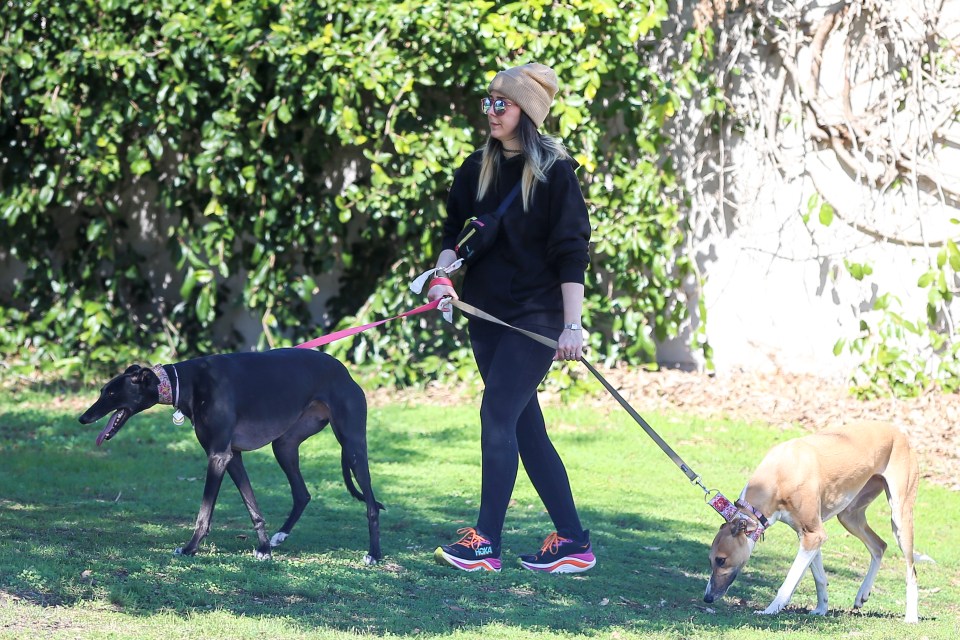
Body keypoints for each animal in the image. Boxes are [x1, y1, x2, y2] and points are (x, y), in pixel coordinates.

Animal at [77, 348, 382, 564]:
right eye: (103, 390)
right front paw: (263, 549)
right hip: (284, 445)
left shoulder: (218, 455)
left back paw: (374, 554)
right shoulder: (232, 456)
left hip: (352, 444)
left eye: (111, 393)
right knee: (302, 493)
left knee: (371, 504)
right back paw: (279, 537)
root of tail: (345, 372)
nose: (82, 418)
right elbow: (253, 507)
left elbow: (204, 513)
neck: (186, 382)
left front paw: (189, 548)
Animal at [704, 418, 924, 624]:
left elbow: (789, 582)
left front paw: (770, 610)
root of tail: (900, 432)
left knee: (911, 571)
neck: (780, 474)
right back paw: (862, 594)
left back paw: (911, 617)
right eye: (710, 559)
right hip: (849, 515)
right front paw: (821, 609)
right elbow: (820, 577)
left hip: (900, 516)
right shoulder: (809, 535)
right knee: (879, 545)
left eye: (721, 559)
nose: (707, 598)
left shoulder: (813, 535)